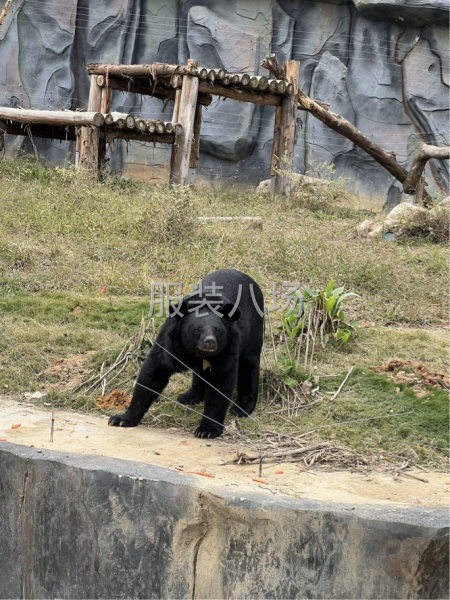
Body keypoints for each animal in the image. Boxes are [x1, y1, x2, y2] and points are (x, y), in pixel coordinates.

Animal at [108, 270, 264, 438]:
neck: (197, 354)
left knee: (249, 366)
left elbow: (221, 385)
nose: (209, 342)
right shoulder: (169, 344)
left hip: (253, 330)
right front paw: (120, 419)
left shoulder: (227, 350)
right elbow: (152, 375)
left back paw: (241, 408)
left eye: (218, 331)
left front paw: (206, 431)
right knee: (200, 373)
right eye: (196, 330)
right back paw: (189, 396)